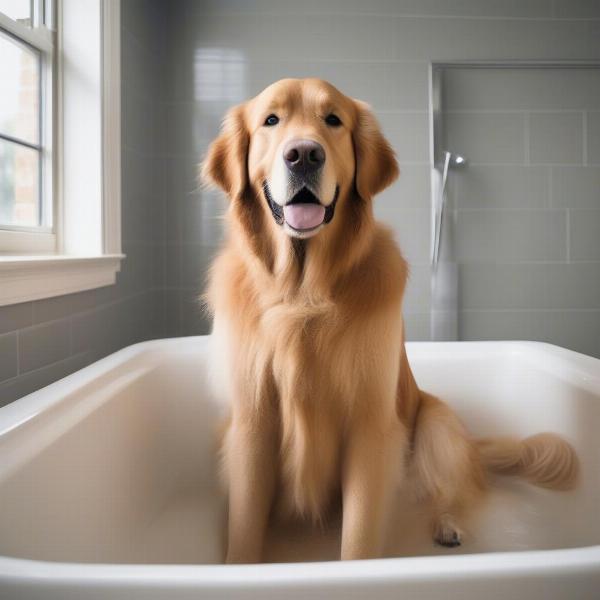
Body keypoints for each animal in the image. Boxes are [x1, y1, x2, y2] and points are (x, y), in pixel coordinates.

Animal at [200, 78, 576, 564]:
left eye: (333, 120)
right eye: (271, 120)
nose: (304, 154)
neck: (302, 293)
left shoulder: (371, 423)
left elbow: (359, 534)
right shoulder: (251, 422)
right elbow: (245, 525)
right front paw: (238, 567)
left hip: (435, 423)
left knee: (454, 491)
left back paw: (448, 525)